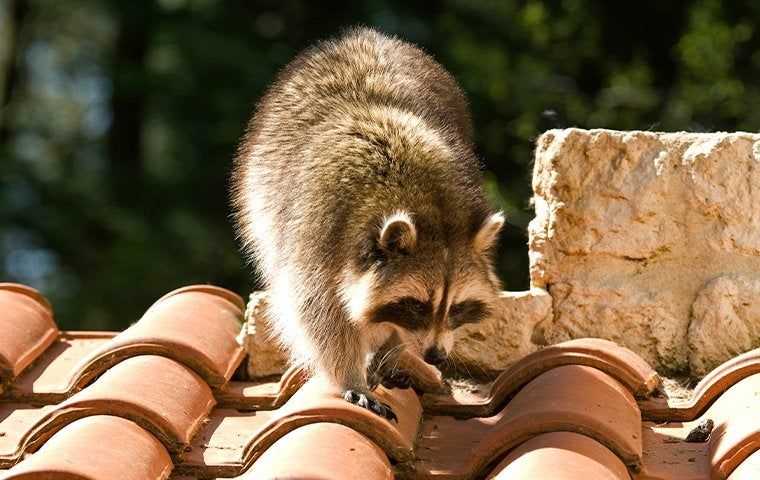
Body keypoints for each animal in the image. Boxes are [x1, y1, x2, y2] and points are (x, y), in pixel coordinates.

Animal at [232, 26, 504, 420]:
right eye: (416, 305)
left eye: (457, 307)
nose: (436, 355)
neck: (427, 204)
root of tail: (363, 35)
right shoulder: (318, 235)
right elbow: (320, 315)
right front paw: (350, 374)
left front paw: (392, 347)